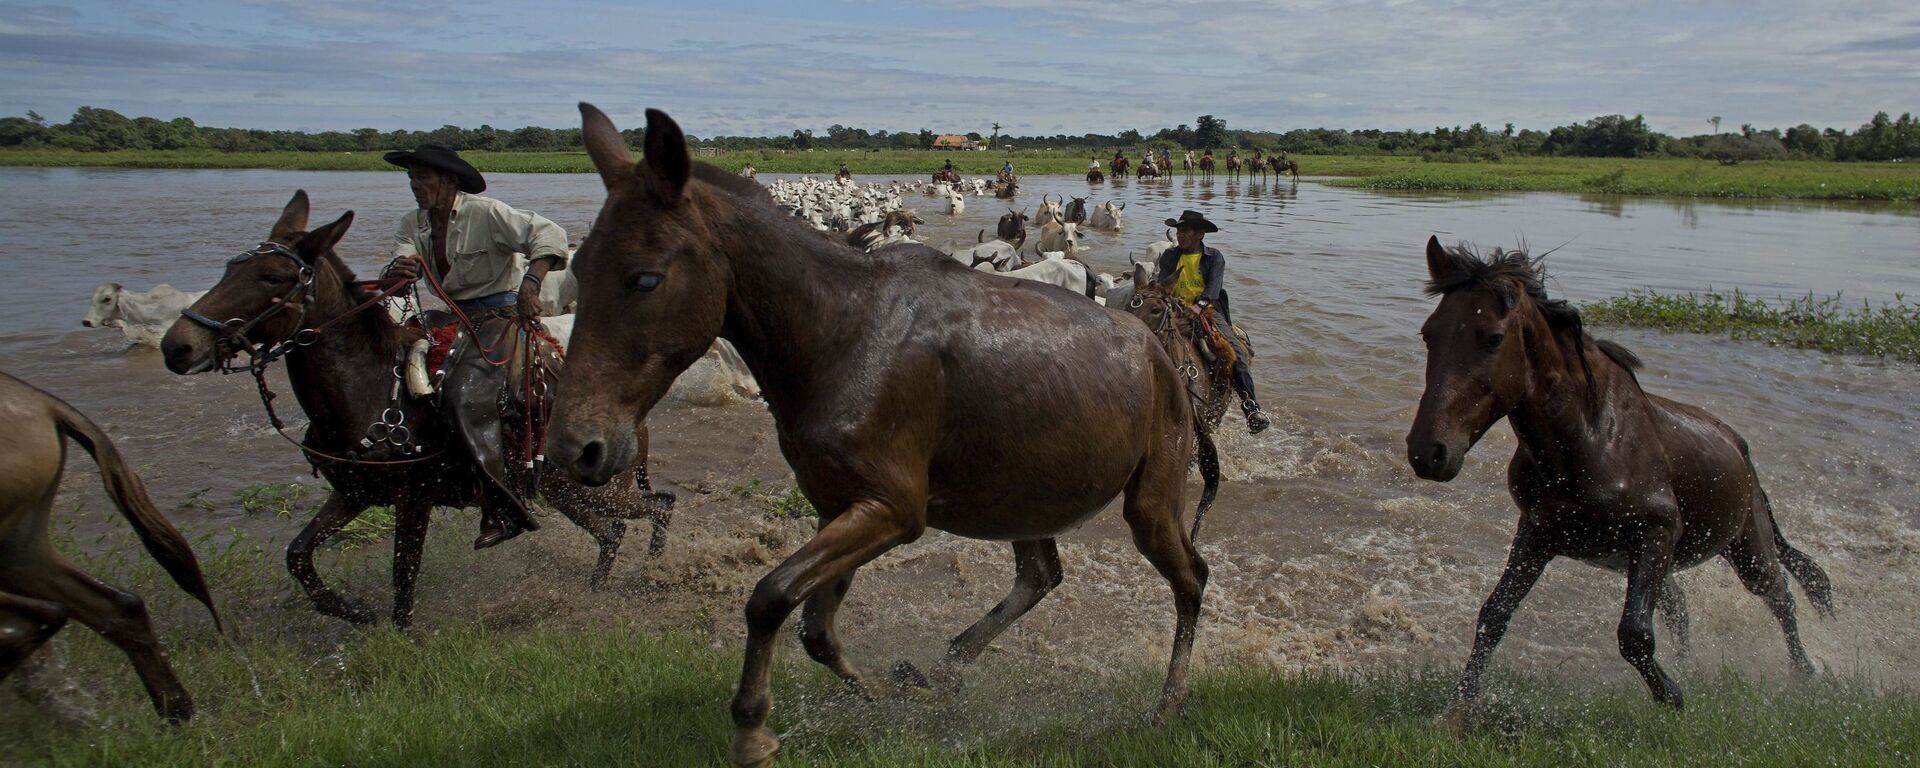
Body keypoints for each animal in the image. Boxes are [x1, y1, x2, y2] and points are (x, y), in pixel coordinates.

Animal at [161, 192, 679, 629]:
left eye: (271, 277)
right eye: (230, 267)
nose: (177, 346)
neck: (370, 390)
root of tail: (639, 423)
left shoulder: (415, 497)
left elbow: (403, 574)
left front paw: (399, 635)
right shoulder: (354, 493)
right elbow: (298, 554)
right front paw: (350, 610)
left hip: (597, 488)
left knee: (657, 507)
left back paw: (651, 570)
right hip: (561, 490)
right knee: (615, 530)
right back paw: (599, 590)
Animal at [545, 103, 1198, 768]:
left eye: (646, 279)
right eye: (580, 269)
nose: (577, 447)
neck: (839, 329)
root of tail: (1158, 352)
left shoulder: (893, 509)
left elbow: (770, 596)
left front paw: (753, 730)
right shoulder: (840, 505)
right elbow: (815, 628)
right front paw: (889, 692)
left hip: (1150, 502)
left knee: (1190, 581)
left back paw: (1167, 705)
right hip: (1023, 499)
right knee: (1039, 576)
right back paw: (943, 671)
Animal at [1413, 238, 1827, 721]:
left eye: (1493, 338)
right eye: (1429, 333)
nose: (1428, 452)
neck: (1589, 442)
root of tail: (1738, 444)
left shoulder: (1657, 530)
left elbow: (1634, 634)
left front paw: (1673, 698)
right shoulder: (1537, 534)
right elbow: (1493, 615)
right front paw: (1456, 707)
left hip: (1748, 547)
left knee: (1781, 597)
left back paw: (1807, 674)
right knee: (1681, 608)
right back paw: (1695, 666)